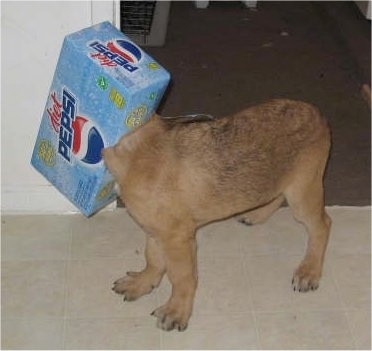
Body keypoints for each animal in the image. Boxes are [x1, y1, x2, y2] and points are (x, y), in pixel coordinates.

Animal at [101, 99, 332, 332]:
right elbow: (153, 259)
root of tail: (315, 113)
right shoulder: (156, 230)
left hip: (303, 191)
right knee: (275, 194)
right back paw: (255, 215)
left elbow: (182, 277)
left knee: (322, 225)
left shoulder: (177, 238)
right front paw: (141, 283)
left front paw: (176, 311)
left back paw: (309, 271)